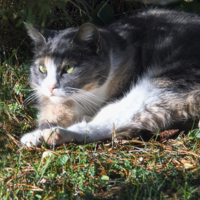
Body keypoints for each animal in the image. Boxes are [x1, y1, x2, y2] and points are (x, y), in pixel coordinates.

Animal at [20, 8, 200, 147]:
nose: (50, 87)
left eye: (68, 68)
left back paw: (53, 134)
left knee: (116, 117)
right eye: (42, 68)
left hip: (170, 79)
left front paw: (38, 134)